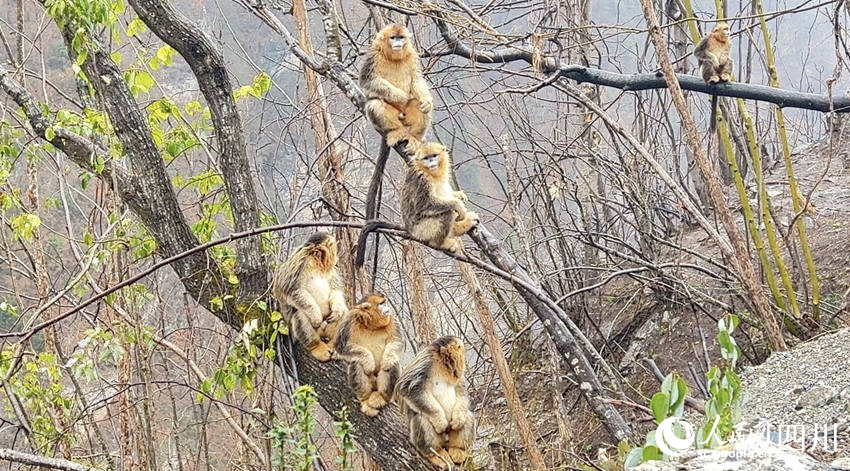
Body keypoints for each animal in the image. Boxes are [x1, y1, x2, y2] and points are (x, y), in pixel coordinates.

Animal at [271, 232, 348, 362]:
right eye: (335, 249)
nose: (337, 257)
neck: (316, 262)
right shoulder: (300, 261)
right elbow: (292, 290)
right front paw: (316, 317)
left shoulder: (331, 270)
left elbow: (335, 290)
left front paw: (337, 311)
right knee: (299, 314)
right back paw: (316, 347)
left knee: (345, 314)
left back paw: (336, 346)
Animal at [360, 23, 434, 223]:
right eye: (393, 37)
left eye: (401, 37)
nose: (398, 43)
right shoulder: (372, 56)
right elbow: (368, 81)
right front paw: (399, 95)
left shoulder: (412, 55)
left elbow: (417, 80)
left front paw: (426, 101)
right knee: (375, 103)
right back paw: (396, 131)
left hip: (408, 115)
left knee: (418, 104)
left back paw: (413, 137)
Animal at [394, 336, 476, 468]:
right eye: (460, 349)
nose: (463, 359)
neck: (442, 364)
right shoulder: (425, 363)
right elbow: (407, 388)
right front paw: (439, 421)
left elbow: (461, 390)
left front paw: (458, 420)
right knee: (422, 419)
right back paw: (435, 453)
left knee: (467, 415)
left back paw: (458, 449)